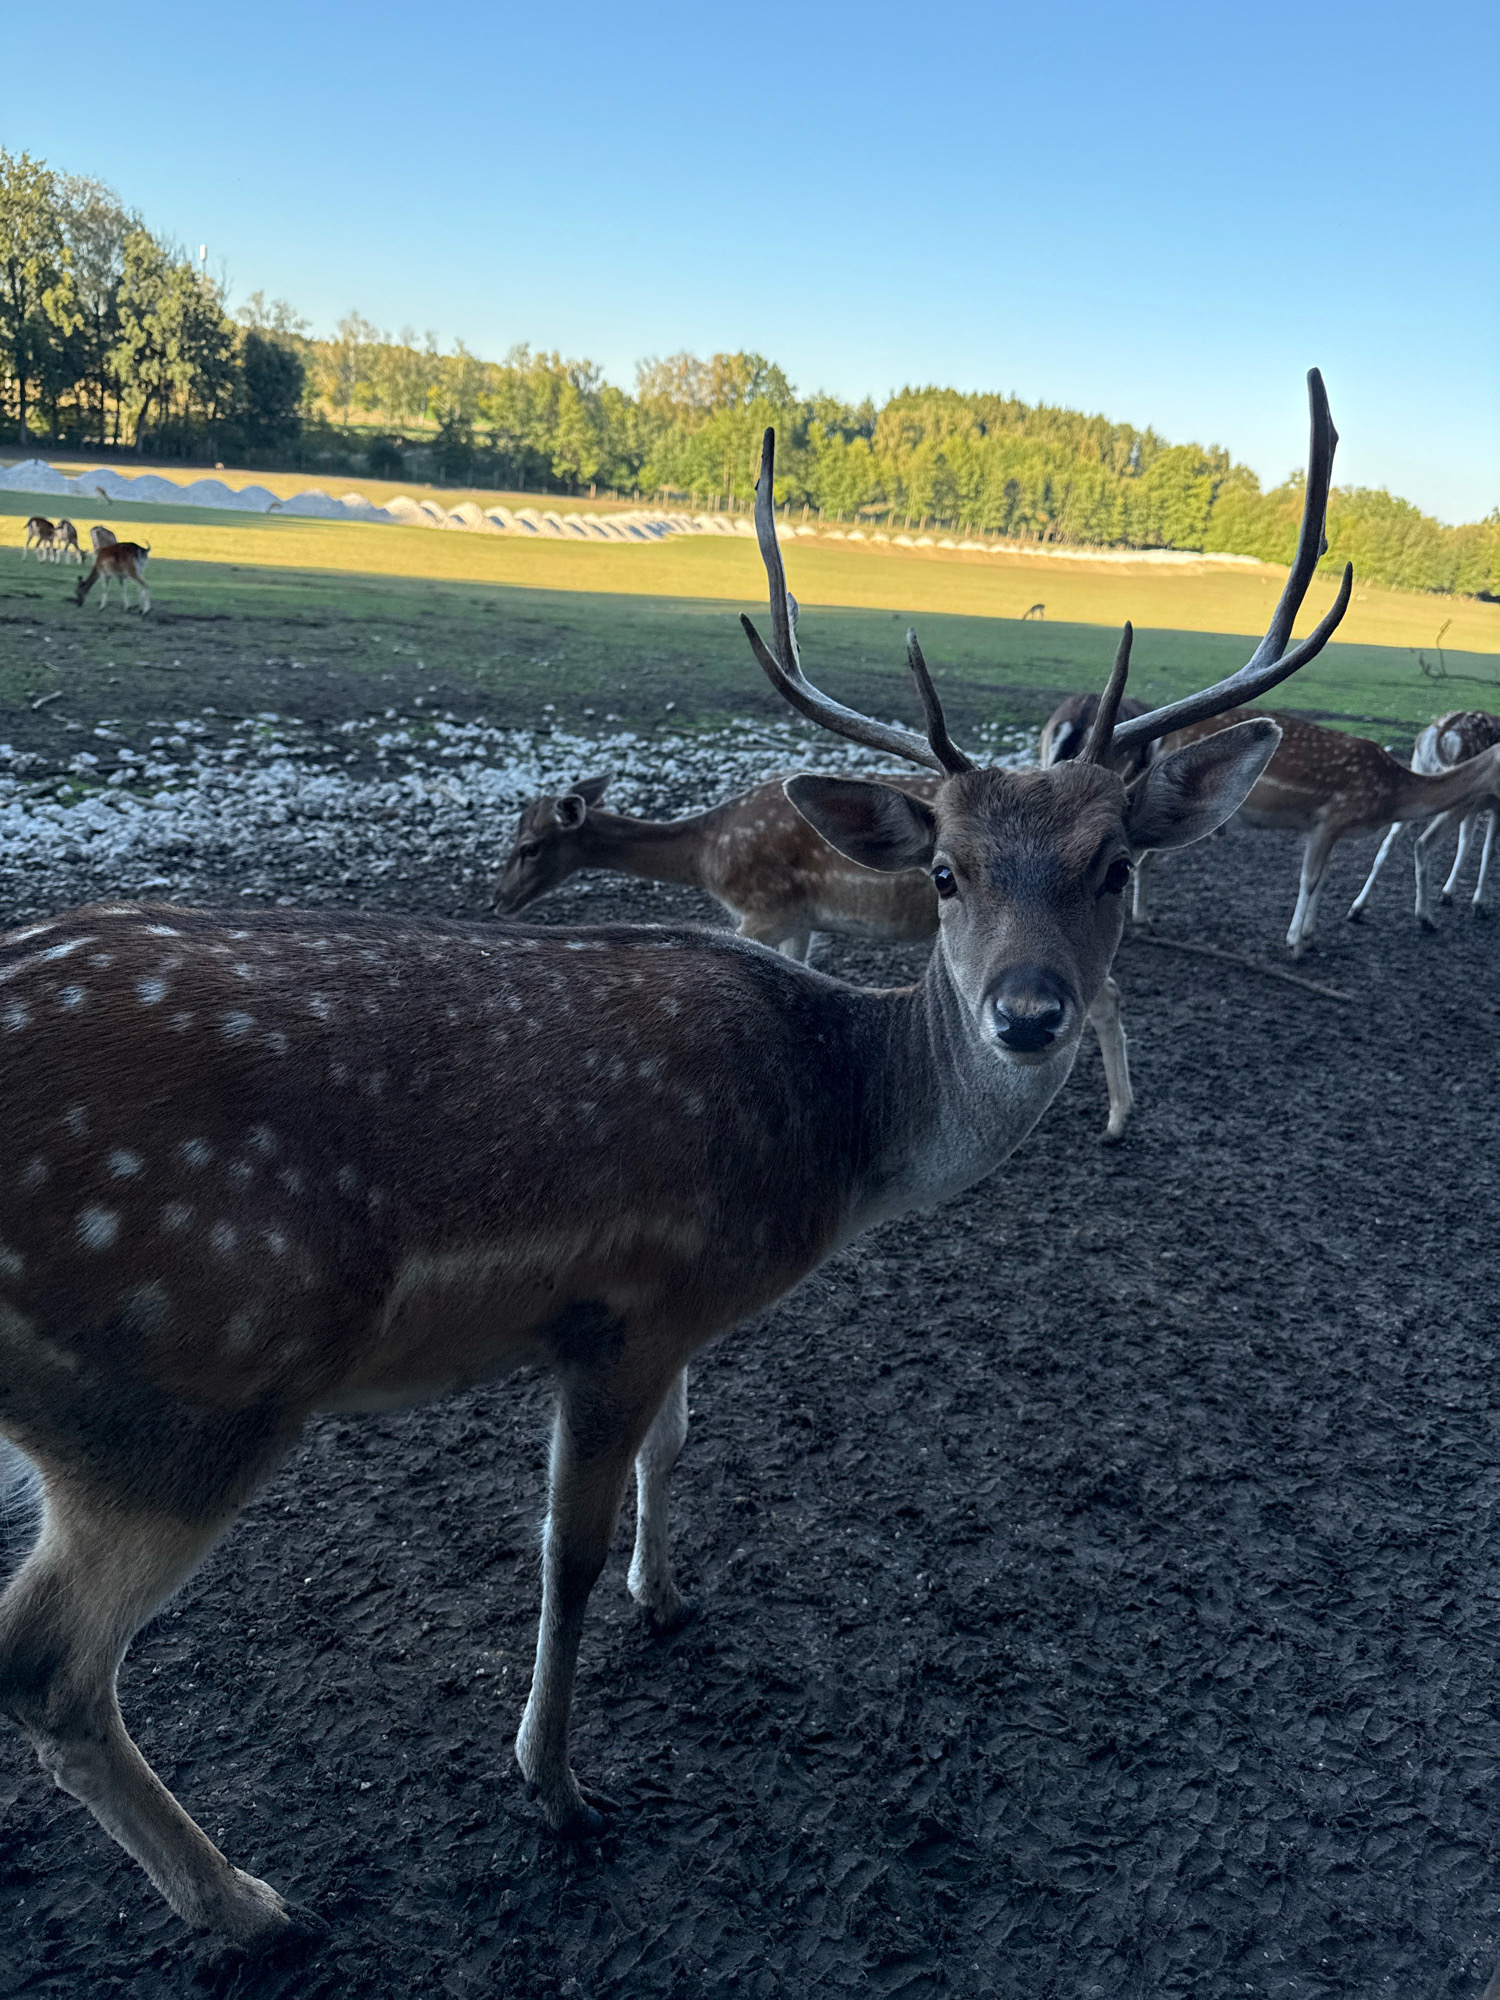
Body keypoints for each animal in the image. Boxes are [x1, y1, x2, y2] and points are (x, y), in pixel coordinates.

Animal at [496, 772, 1141, 1140]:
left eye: (529, 847)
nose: (498, 900)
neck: (707, 856)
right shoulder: (800, 919)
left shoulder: (764, 908)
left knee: (1105, 995)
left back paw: (1115, 1120)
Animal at [1346, 710, 1500, 925]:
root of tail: (1438, 734)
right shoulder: (1495, 804)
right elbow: (1489, 850)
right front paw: (1478, 905)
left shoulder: (1478, 807)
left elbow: (1466, 842)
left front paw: (1447, 894)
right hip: (1459, 796)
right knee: (1424, 842)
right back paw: (1425, 916)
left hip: (1418, 782)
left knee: (1387, 843)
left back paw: (1356, 908)